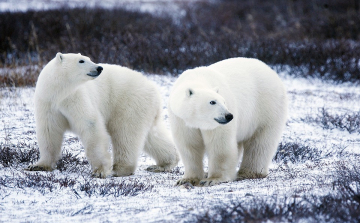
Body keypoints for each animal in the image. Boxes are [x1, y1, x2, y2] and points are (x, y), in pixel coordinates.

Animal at [27, 52, 179, 178]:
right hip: (144, 108)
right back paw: (163, 164)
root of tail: (154, 89)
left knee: (125, 134)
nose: (99, 68)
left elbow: (91, 125)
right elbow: (49, 131)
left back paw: (119, 169)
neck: (59, 92)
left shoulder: (76, 98)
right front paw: (39, 165)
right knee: (152, 135)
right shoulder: (47, 103)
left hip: (129, 103)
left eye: (89, 58)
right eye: (81, 60)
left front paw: (100, 171)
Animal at [169, 57, 286, 186]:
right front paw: (187, 179)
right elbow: (189, 145)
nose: (229, 116)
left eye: (224, 101)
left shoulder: (217, 124)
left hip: (266, 107)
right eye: (212, 102)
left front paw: (212, 179)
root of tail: (271, 70)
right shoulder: (181, 120)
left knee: (260, 142)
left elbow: (220, 145)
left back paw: (248, 172)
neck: (198, 78)